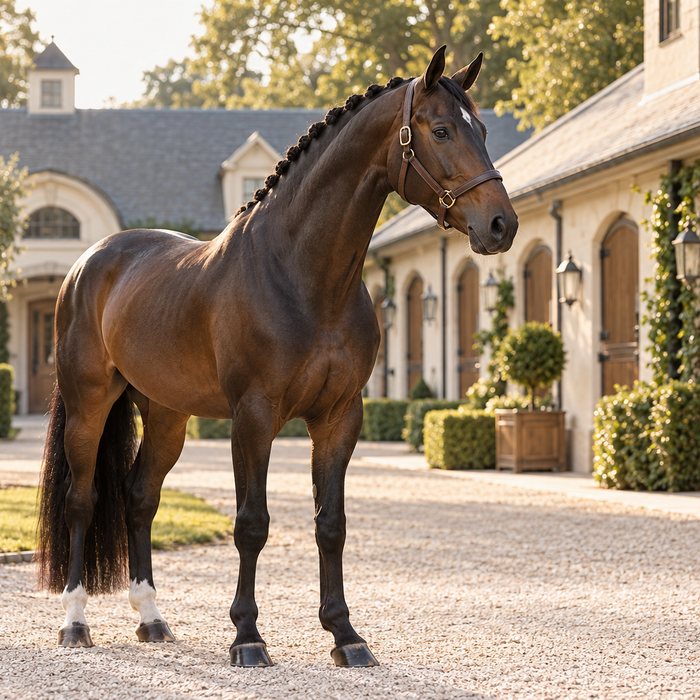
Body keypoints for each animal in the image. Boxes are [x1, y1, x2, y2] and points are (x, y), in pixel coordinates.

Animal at [36, 45, 517, 667]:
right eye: (440, 130)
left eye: (481, 129)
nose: (501, 224)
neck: (303, 276)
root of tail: (89, 260)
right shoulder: (254, 415)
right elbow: (252, 524)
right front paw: (247, 636)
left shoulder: (340, 417)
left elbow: (330, 524)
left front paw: (345, 635)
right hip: (88, 404)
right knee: (81, 499)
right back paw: (75, 622)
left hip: (166, 414)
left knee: (140, 497)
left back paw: (152, 618)